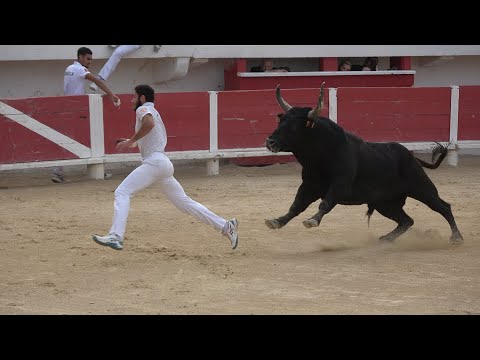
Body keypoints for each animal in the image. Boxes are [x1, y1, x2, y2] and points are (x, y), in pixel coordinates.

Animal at [264, 82, 464, 245]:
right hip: (385, 203)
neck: (321, 156)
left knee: (443, 207)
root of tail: (410, 155)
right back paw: (386, 239)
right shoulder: (309, 186)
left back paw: (457, 237)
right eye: (280, 121)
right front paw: (276, 221)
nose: (270, 141)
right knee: (406, 220)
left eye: (293, 128)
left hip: (422, 188)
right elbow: (296, 205)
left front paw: (312, 220)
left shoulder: (340, 185)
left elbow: (325, 203)